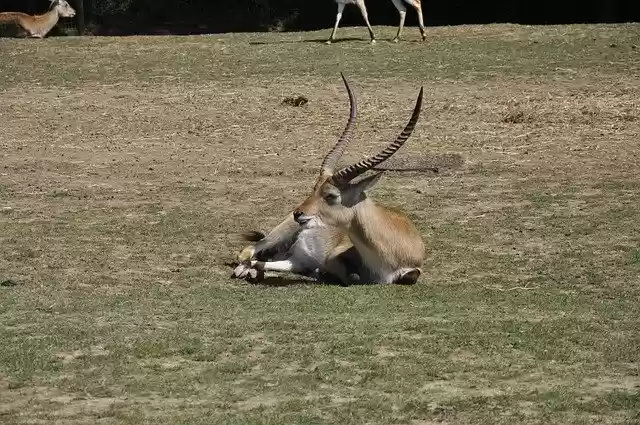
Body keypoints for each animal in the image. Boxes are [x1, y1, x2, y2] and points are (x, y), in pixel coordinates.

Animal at [233, 74, 425, 285]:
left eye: (331, 195)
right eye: (314, 189)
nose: (298, 213)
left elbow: (410, 276)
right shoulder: (331, 259)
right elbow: (351, 276)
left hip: (293, 257)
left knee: (270, 261)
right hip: (280, 234)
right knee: (247, 252)